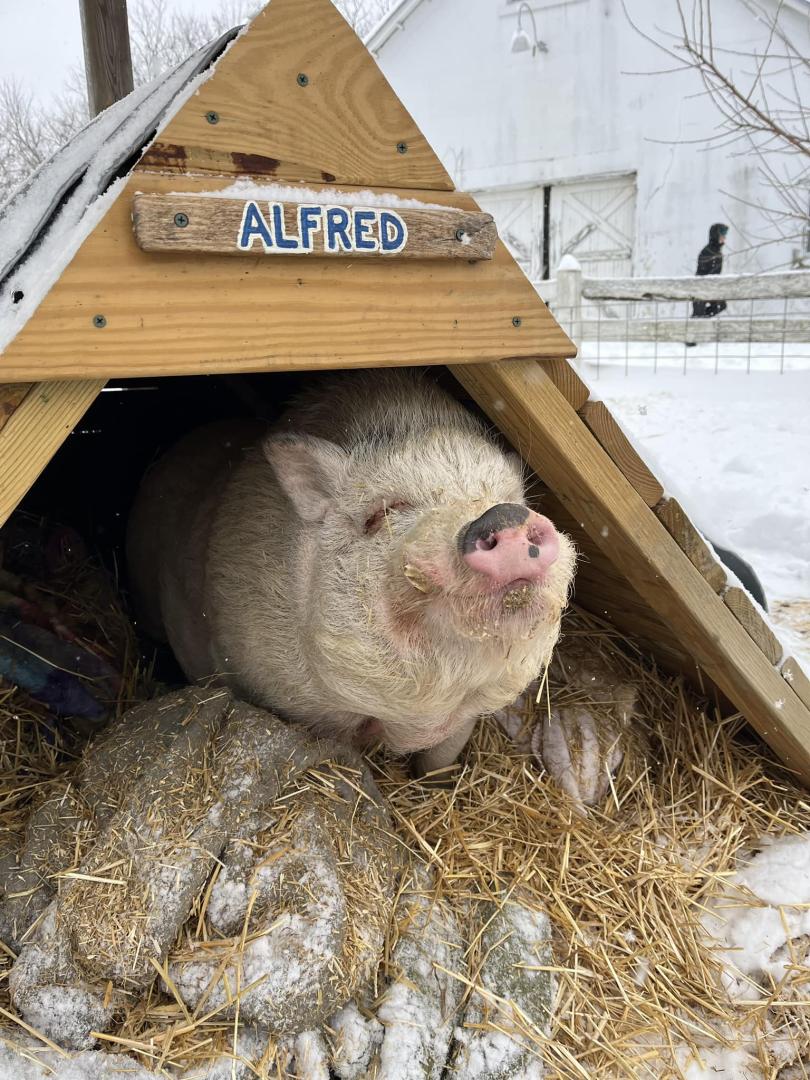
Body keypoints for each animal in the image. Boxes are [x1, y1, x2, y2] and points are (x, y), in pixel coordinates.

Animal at [126, 371, 578, 777]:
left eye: (508, 498)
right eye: (383, 513)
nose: (503, 515)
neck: (421, 714)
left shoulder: (465, 717)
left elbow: (439, 761)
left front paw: (436, 786)